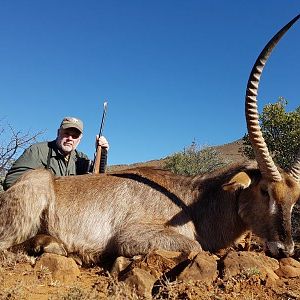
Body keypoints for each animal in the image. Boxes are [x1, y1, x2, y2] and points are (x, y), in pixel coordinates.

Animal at [0, 15, 298, 264]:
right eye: (264, 190)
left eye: (295, 199)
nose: (285, 249)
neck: (192, 201)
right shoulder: (132, 236)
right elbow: (195, 247)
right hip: (34, 188)